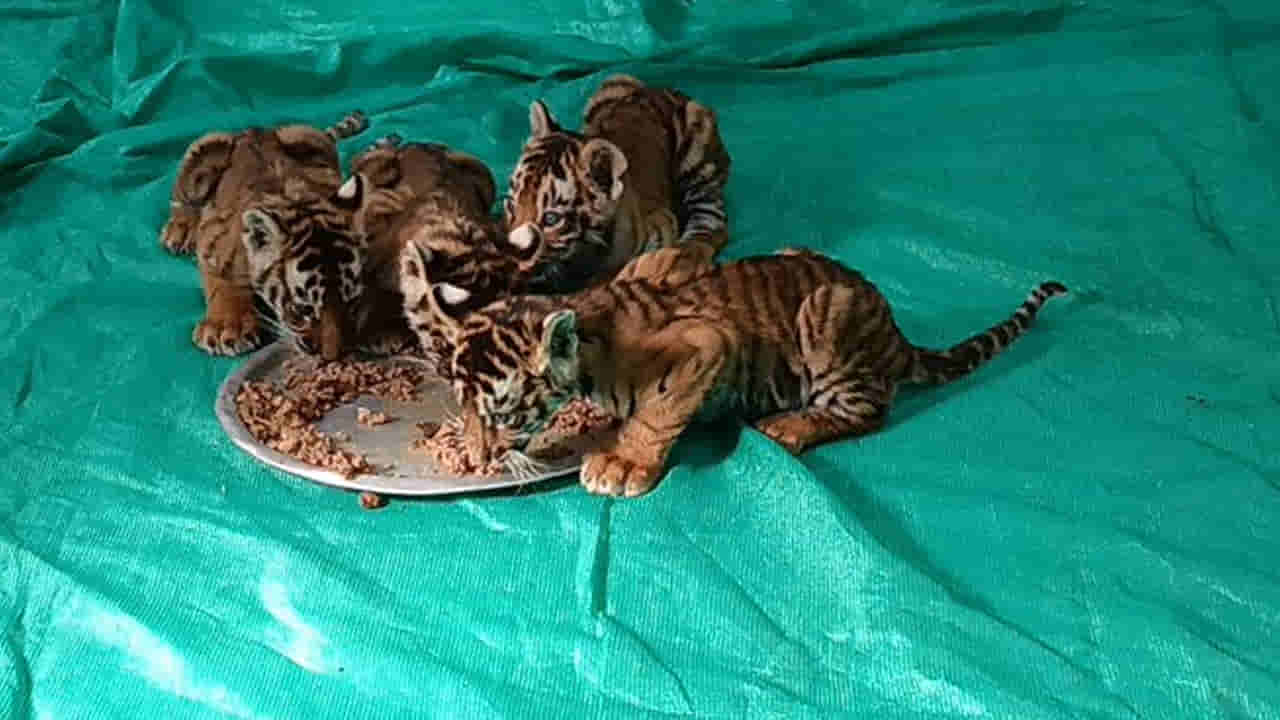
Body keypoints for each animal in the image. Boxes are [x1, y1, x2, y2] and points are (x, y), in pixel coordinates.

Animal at [160, 111, 369, 359]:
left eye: (352, 301)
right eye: (301, 310)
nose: (333, 356)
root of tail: (254, 130)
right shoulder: (213, 242)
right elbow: (222, 283)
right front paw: (227, 326)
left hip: (308, 137)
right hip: (207, 147)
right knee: (182, 197)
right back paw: (181, 228)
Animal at [442, 246, 1068, 497]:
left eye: (503, 414)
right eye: (466, 410)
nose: (478, 456)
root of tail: (894, 333)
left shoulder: (705, 345)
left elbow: (657, 413)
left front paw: (623, 463)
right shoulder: (658, 261)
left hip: (827, 315)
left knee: (869, 408)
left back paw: (791, 426)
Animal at [502, 74, 732, 293]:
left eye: (551, 219)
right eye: (511, 205)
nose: (514, 253)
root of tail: (660, 89)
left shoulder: (662, 224)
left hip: (698, 154)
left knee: (712, 221)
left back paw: (685, 257)